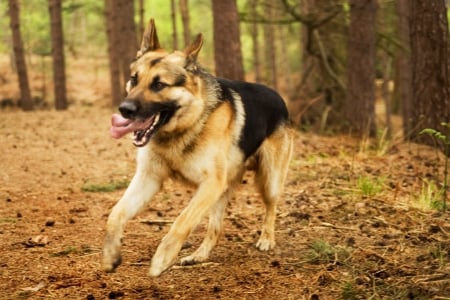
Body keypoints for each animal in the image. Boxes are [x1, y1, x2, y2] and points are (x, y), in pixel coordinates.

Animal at [103, 19, 294, 276]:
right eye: (134, 79)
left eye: (159, 84)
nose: (124, 110)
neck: (188, 124)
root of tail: (278, 96)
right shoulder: (149, 179)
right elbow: (115, 214)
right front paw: (111, 254)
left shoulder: (209, 184)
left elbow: (181, 222)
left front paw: (162, 259)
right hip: (221, 193)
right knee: (216, 229)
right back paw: (199, 256)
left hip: (268, 181)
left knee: (271, 208)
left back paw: (266, 239)